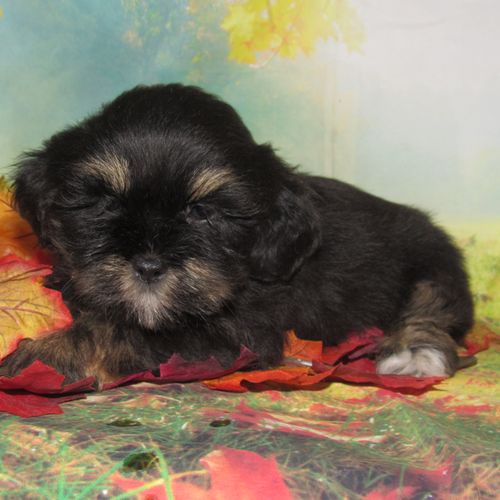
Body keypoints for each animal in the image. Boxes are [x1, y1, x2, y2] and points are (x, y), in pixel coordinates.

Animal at [0, 84, 473, 386]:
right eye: (107, 204)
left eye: (202, 212)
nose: (149, 265)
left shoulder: (237, 334)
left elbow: (112, 331)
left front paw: (40, 356)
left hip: (433, 262)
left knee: (432, 307)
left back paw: (414, 353)